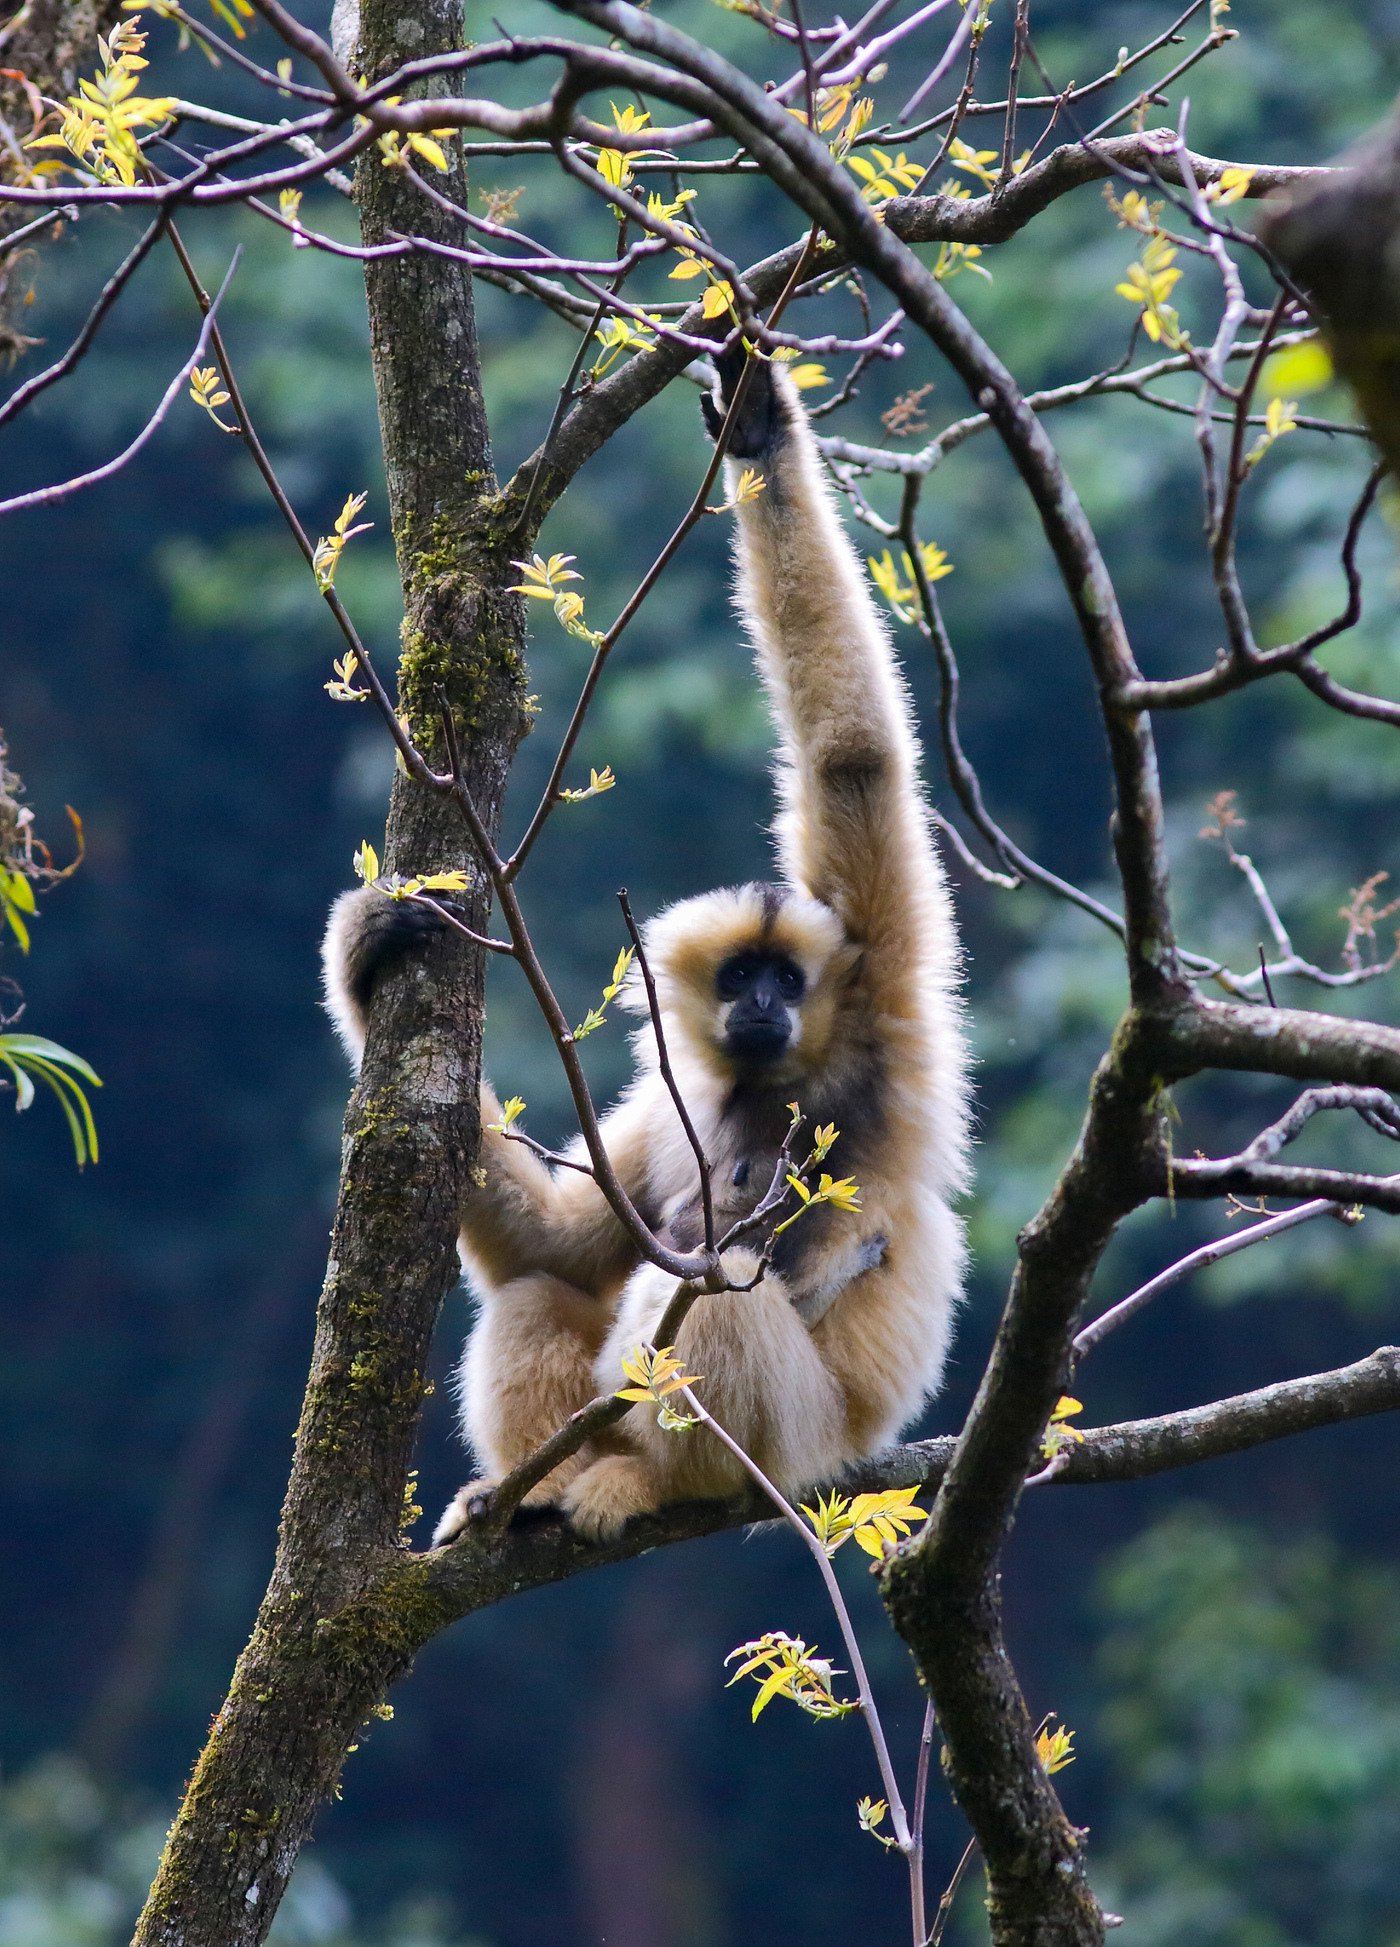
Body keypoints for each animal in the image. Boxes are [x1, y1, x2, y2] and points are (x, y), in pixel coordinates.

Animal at [323, 347, 970, 1544]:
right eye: (740, 975)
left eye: (787, 977)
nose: (761, 1004)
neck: (771, 1083)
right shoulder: (677, 1106)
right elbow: (552, 1249)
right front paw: (367, 954)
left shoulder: (884, 1010)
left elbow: (854, 764)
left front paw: (763, 429)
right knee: (548, 1286)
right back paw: (534, 1487)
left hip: (794, 1446)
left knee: (713, 1282)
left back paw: (646, 1481)